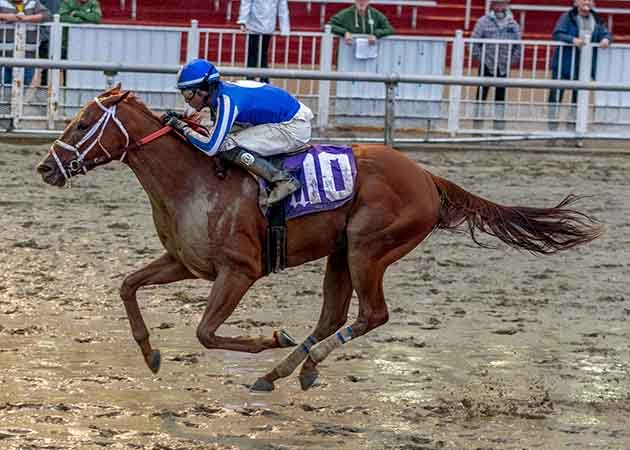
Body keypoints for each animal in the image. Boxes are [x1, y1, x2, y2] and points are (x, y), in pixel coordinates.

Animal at [37, 86, 600, 392]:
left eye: (83, 123)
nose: (46, 168)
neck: (192, 182)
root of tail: (426, 176)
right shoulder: (184, 262)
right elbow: (128, 286)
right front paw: (149, 352)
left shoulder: (238, 272)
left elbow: (206, 333)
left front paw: (268, 338)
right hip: (341, 254)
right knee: (333, 316)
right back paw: (284, 372)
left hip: (370, 249)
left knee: (372, 315)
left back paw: (299, 362)